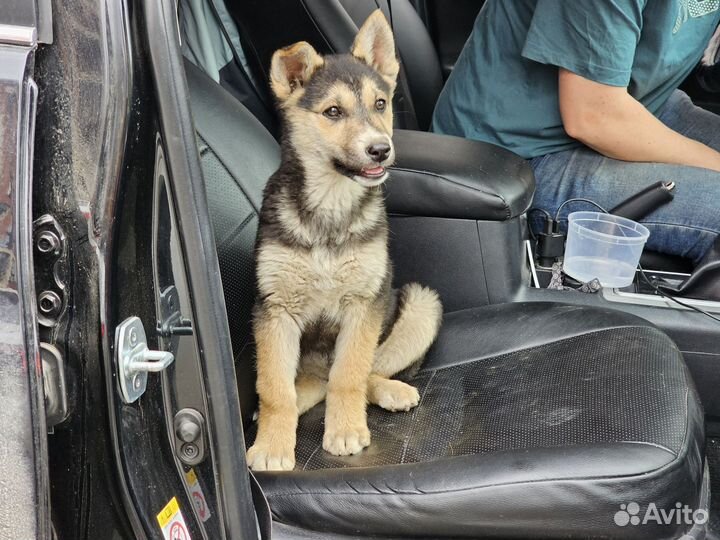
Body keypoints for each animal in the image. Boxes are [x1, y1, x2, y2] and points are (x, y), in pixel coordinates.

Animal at [246, 10, 444, 470]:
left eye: (380, 104)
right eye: (332, 111)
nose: (380, 149)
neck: (330, 209)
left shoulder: (364, 303)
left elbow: (350, 373)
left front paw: (346, 430)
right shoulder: (274, 309)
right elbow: (275, 390)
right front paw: (272, 446)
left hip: (421, 304)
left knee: (365, 370)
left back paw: (390, 389)